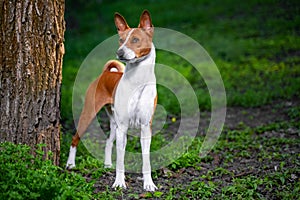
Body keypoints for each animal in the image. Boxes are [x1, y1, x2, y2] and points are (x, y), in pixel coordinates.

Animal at [66, 10, 158, 191]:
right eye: (121, 40)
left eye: (135, 40)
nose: (120, 53)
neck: (137, 81)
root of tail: (106, 73)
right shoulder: (123, 128)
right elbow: (121, 160)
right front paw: (119, 183)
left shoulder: (145, 128)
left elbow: (146, 160)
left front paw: (148, 184)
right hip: (89, 114)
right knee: (75, 139)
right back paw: (71, 164)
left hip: (114, 123)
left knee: (108, 141)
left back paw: (107, 165)